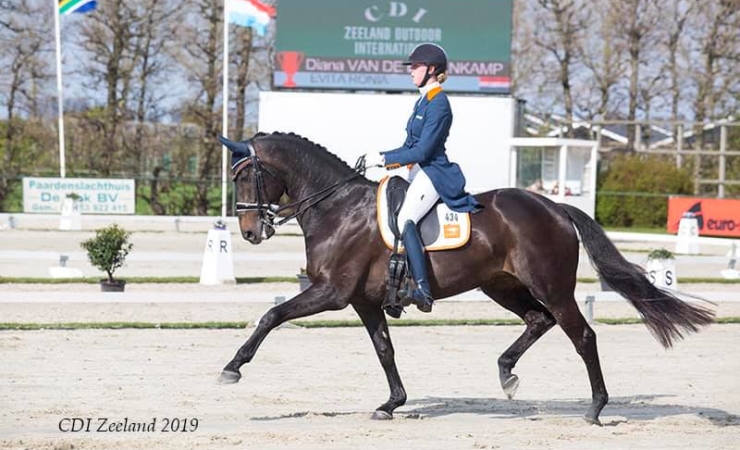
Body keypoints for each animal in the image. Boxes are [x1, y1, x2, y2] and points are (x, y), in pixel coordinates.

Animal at [217, 131, 712, 426]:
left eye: (244, 178)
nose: (250, 231)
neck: (336, 208)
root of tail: (554, 206)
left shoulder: (332, 293)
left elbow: (271, 316)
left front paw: (232, 367)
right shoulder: (362, 300)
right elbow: (384, 349)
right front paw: (392, 403)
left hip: (551, 286)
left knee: (581, 335)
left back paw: (594, 408)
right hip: (501, 285)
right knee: (539, 321)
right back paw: (507, 374)